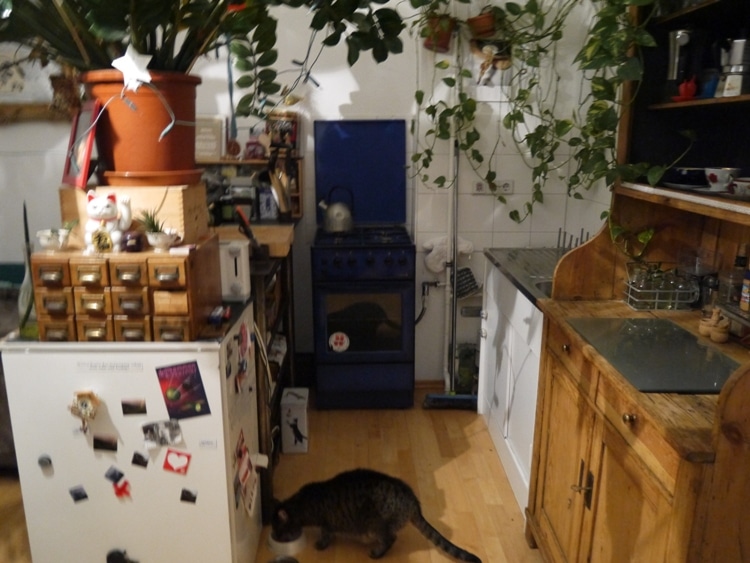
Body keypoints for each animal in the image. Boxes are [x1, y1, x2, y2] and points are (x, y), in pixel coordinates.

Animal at [274, 468, 484, 563]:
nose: (274, 535)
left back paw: (377, 553)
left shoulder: (326, 522)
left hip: (374, 525)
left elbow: (326, 534)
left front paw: (320, 544)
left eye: (277, 530)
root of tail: (413, 502)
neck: (301, 504)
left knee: (391, 538)